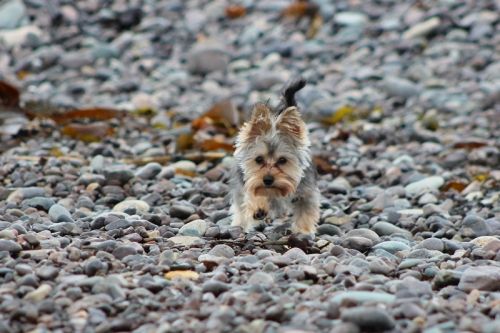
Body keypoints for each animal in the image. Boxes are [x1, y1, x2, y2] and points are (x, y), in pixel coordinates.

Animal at [229, 78, 320, 233]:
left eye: (283, 160)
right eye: (259, 159)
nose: (267, 180)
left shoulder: (307, 194)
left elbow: (305, 214)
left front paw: (303, 232)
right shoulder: (248, 183)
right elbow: (252, 195)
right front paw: (259, 208)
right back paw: (239, 225)